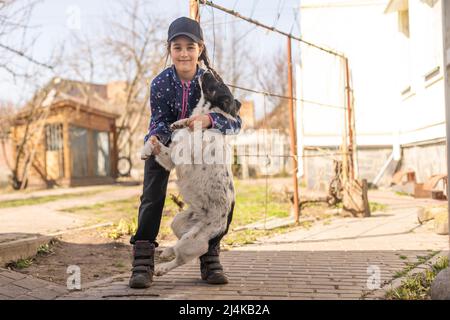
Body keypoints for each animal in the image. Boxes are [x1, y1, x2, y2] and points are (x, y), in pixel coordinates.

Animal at [142, 71, 241, 276]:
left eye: (218, 82)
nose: (206, 70)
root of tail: (223, 230)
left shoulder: (180, 159)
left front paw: (186, 124)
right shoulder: (169, 159)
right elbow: (155, 142)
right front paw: (147, 147)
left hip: (192, 241)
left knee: (182, 259)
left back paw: (163, 268)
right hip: (178, 222)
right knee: (178, 242)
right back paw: (168, 250)